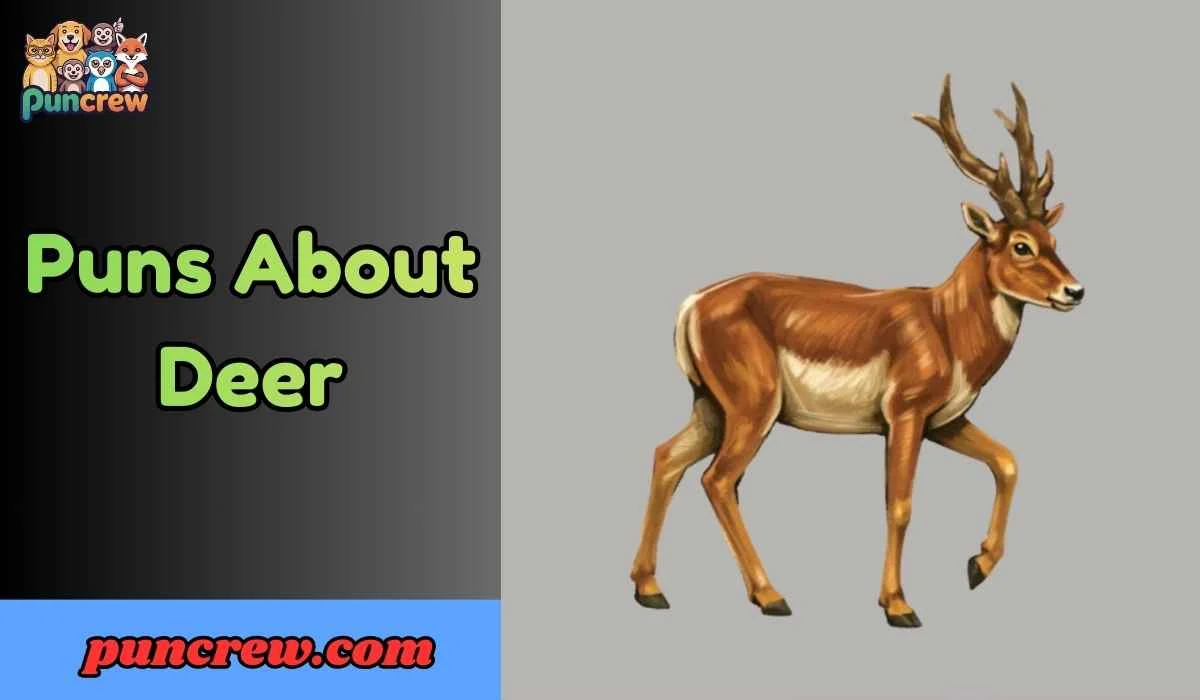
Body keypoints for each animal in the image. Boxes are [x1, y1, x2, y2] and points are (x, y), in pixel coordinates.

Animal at [629, 75, 1084, 628]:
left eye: (1052, 238)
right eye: (1021, 245)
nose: (1075, 291)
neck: (944, 322)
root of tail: (693, 303)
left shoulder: (945, 422)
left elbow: (1007, 462)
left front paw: (977, 566)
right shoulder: (905, 415)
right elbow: (900, 505)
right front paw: (899, 605)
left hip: (710, 406)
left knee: (666, 457)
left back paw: (650, 589)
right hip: (753, 407)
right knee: (718, 480)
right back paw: (771, 596)